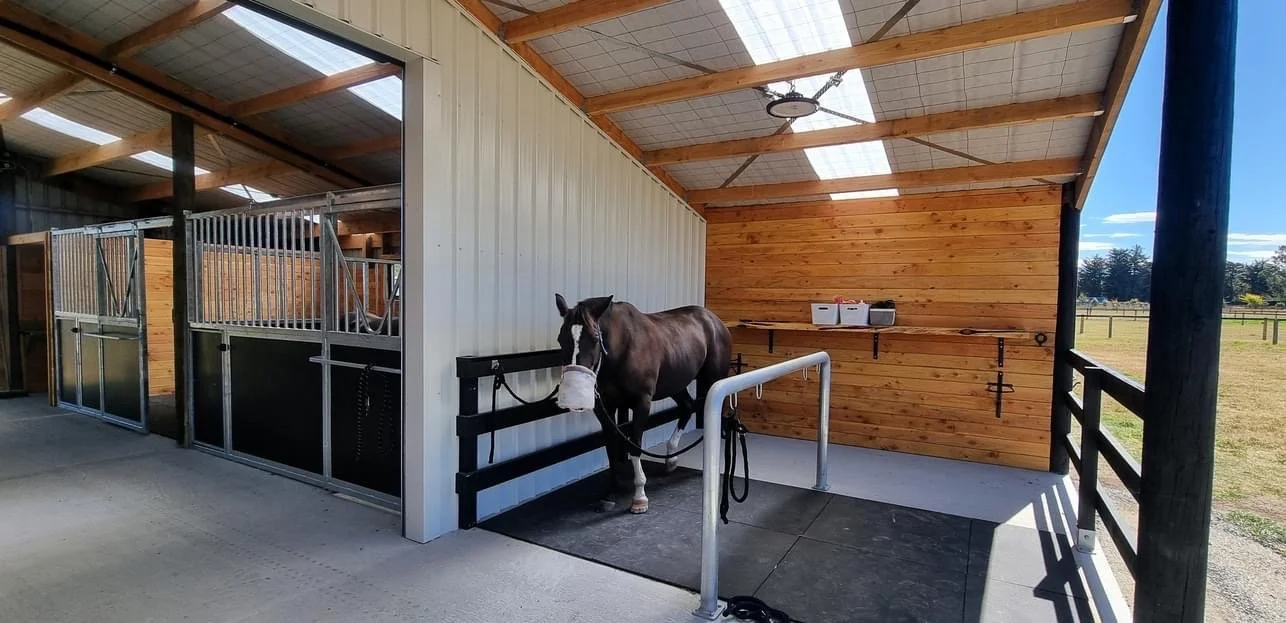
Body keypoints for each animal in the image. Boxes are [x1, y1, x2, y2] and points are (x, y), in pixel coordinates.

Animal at [554, 293, 732, 514]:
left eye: (595, 338)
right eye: (561, 339)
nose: (574, 395)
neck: (623, 349)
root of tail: (714, 321)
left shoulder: (642, 403)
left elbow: (635, 447)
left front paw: (639, 497)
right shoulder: (606, 408)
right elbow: (611, 449)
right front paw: (610, 494)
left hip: (713, 379)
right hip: (676, 383)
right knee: (687, 406)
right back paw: (671, 459)